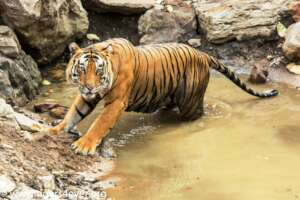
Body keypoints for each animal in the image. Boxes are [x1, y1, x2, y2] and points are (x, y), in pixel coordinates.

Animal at [48, 38, 276, 155]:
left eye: (98, 70)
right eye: (82, 69)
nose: (89, 86)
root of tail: (202, 54)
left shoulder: (116, 102)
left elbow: (99, 124)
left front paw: (84, 145)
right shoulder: (87, 97)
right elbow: (73, 114)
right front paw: (54, 130)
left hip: (190, 103)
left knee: (197, 115)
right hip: (167, 96)